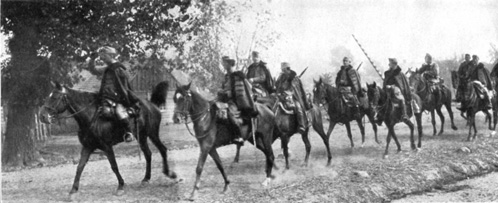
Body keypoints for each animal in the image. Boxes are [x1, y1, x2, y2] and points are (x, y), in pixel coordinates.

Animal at [39, 81, 175, 198]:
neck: (91, 117)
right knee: (148, 154)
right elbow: (80, 167)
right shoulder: (87, 147)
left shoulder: (106, 147)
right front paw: (73, 190)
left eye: (54, 97)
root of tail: (152, 105)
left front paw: (120, 186)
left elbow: (114, 166)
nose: (42, 116)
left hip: (152, 134)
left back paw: (169, 173)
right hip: (142, 137)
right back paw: (146, 179)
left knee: (162, 150)